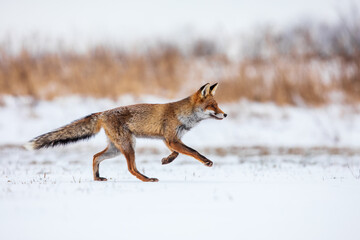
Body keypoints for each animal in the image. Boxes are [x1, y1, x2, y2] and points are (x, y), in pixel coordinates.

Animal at [25, 83, 226, 182]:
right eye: (213, 106)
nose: (225, 114)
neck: (183, 115)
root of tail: (102, 113)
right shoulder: (171, 138)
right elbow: (193, 151)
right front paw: (206, 161)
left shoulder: (169, 139)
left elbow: (176, 153)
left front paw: (166, 160)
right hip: (129, 145)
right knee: (131, 168)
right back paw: (147, 179)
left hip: (115, 148)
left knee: (95, 156)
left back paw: (97, 178)